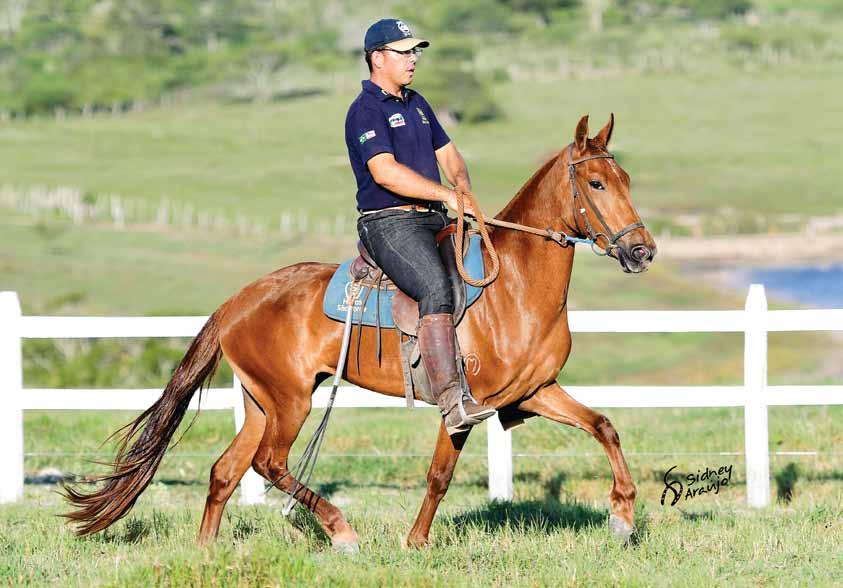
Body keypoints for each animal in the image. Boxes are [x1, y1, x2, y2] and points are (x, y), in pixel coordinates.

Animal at [66, 113, 660, 552]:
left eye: (629, 181)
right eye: (597, 183)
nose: (642, 251)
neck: (511, 285)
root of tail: (239, 300)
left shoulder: (534, 392)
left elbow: (605, 427)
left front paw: (623, 516)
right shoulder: (466, 405)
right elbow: (439, 475)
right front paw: (416, 542)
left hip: (261, 403)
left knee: (226, 471)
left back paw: (207, 551)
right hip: (290, 401)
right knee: (268, 463)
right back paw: (340, 530)